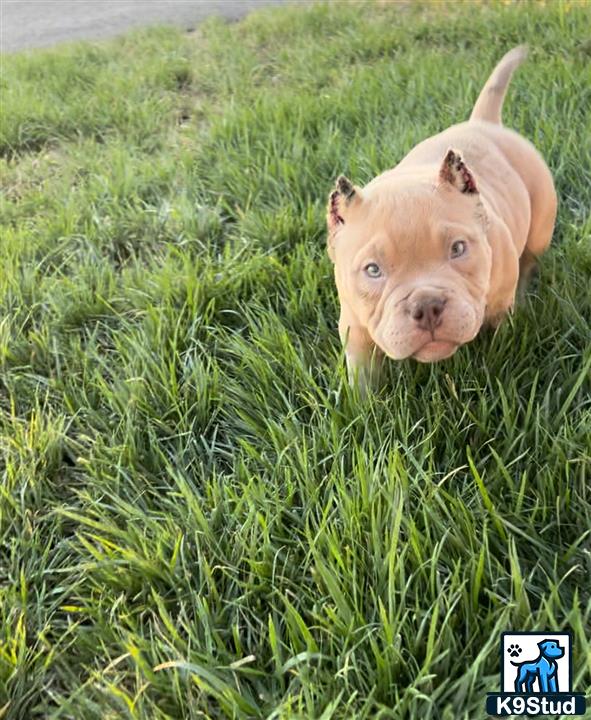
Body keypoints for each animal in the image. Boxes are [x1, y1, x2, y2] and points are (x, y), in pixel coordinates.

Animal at [330, 46, 556, 388]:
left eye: (458, 248)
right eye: (373, 270)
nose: (427, 306)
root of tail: (484, 123)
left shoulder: (498, 305)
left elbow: (500, 333)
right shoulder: (355, 327)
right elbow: (363, 376)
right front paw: (363, 401)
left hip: (540, 224)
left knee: (530, 258)